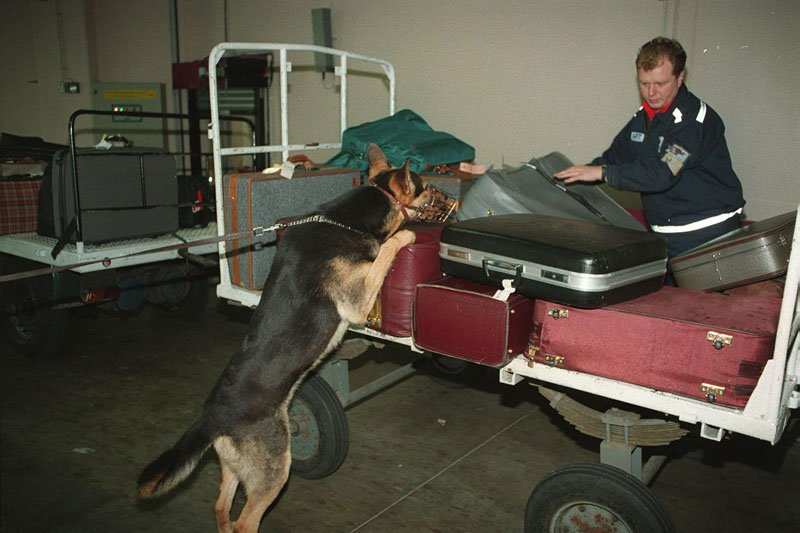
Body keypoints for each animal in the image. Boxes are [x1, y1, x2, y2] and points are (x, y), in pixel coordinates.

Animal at [136, 143, 432, 528]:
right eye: (423, 185)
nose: (441, 196)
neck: (347, 220)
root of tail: (211, 420)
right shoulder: (357, 301)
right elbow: (385, 250)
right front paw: (404, 236)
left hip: (237, 467)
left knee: (221, 508)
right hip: (275, 469)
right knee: (245, 521)